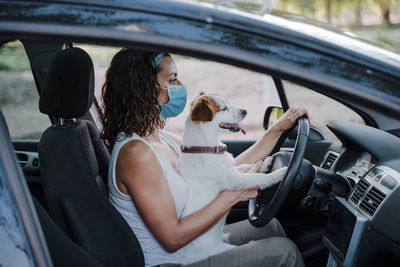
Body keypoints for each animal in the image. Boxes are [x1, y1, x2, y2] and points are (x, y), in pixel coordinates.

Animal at [177, 93, 286, 264]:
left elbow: (248, 166)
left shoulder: (232, 170)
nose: (245, 111)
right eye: (223, 108)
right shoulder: (234, 179)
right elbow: (256, 177)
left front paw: (266, 163)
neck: (205, 148)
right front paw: (277, 174)